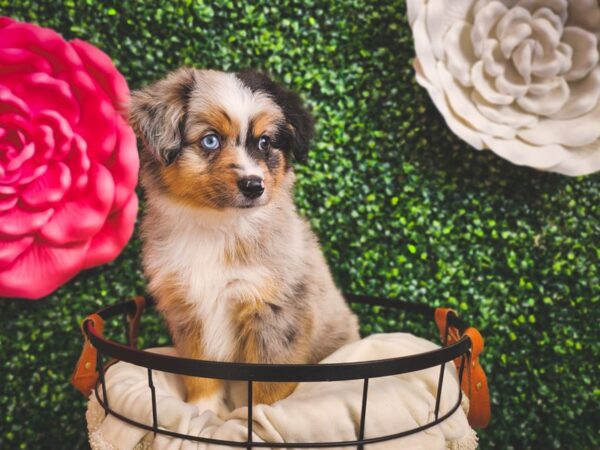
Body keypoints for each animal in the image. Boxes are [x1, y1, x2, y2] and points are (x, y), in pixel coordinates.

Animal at [128, 68, 358, 416]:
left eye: (265, 142)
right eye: (210, 140)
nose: (254, 185)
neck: (216, 226)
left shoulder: (275, 311)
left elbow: (268, 384)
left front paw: (262, 417)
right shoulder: (188, 310)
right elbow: (199, 374)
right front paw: (204, 412)